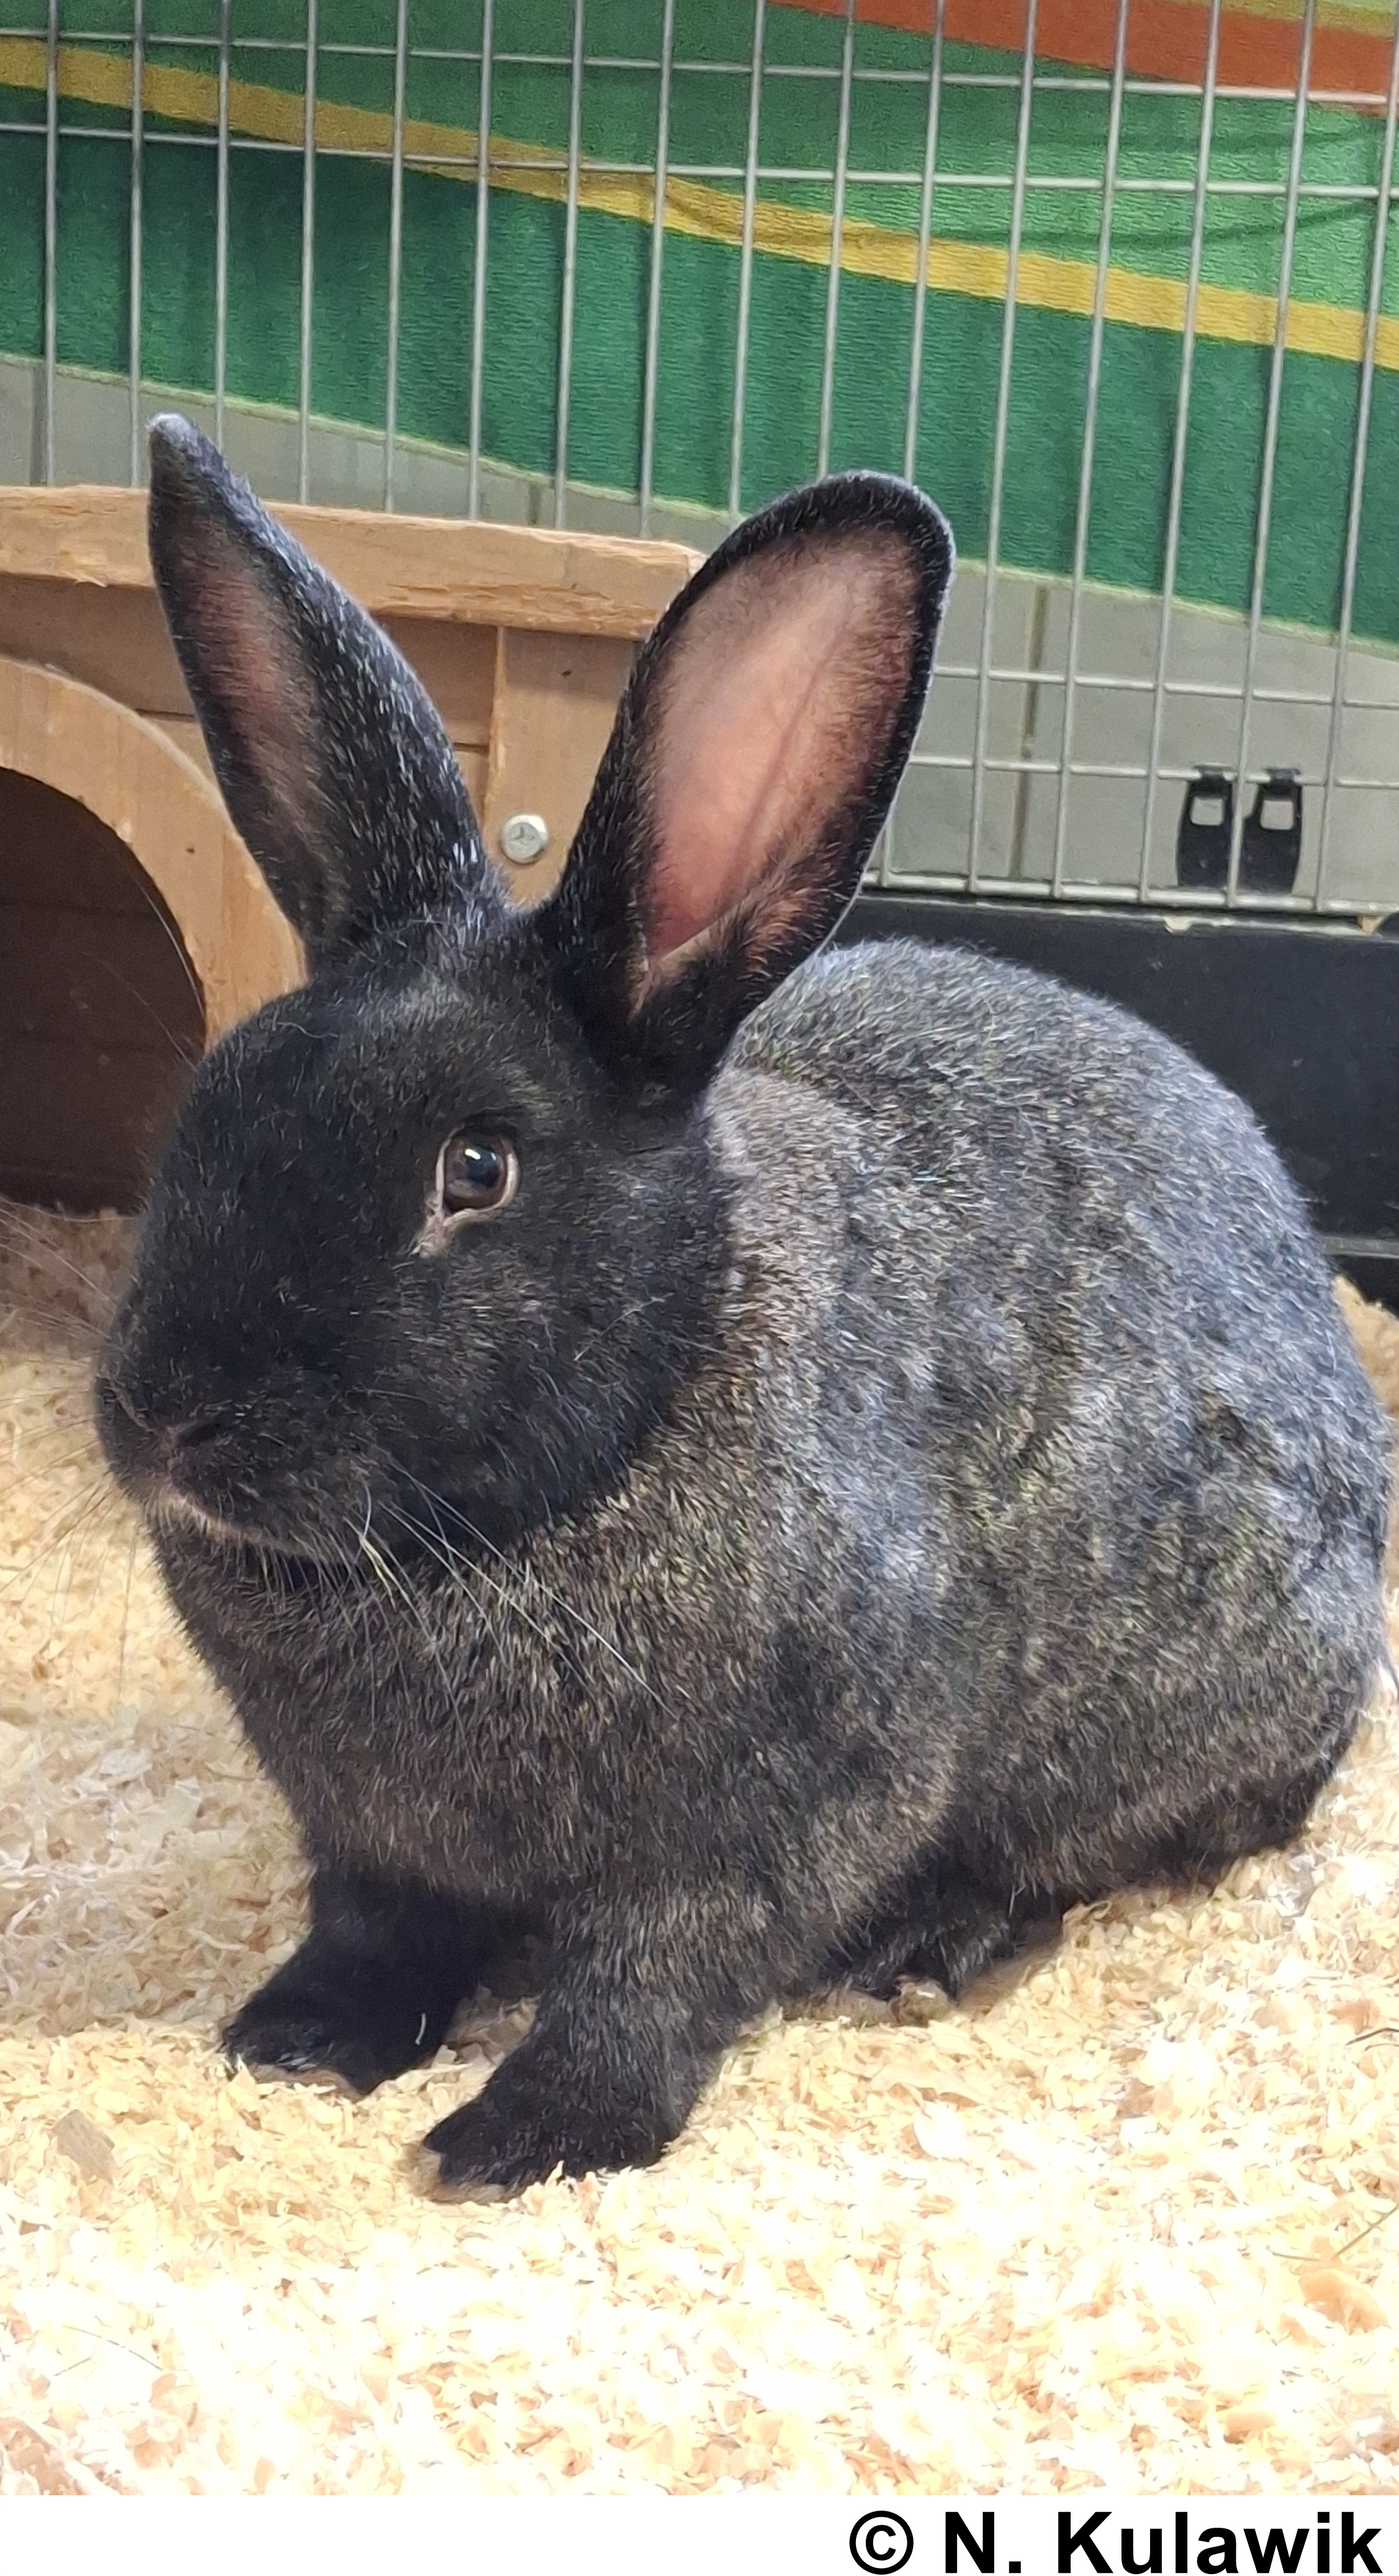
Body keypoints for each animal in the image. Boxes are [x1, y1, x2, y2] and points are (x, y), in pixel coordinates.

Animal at [95, 414, 1390, 2197]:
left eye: (477, 1168)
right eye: (211, 1098)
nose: (161, 1415)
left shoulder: (772, 1827)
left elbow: (653, 1979)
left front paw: (515, 2136)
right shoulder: (366, 1839)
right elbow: (375, 1929)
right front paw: (293, 2039)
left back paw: (933, 1942)